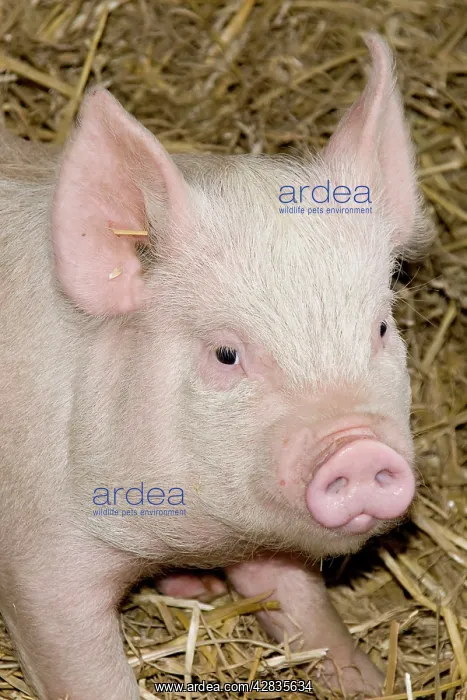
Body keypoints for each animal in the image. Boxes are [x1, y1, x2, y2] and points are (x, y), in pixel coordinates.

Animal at [0, 33, 432, 700]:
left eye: (381, 328)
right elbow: (81, 664)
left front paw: (361, 680)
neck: (192, 533)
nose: (358, 450)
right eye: (226, 353)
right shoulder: (38, 555)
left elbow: (302, 603)